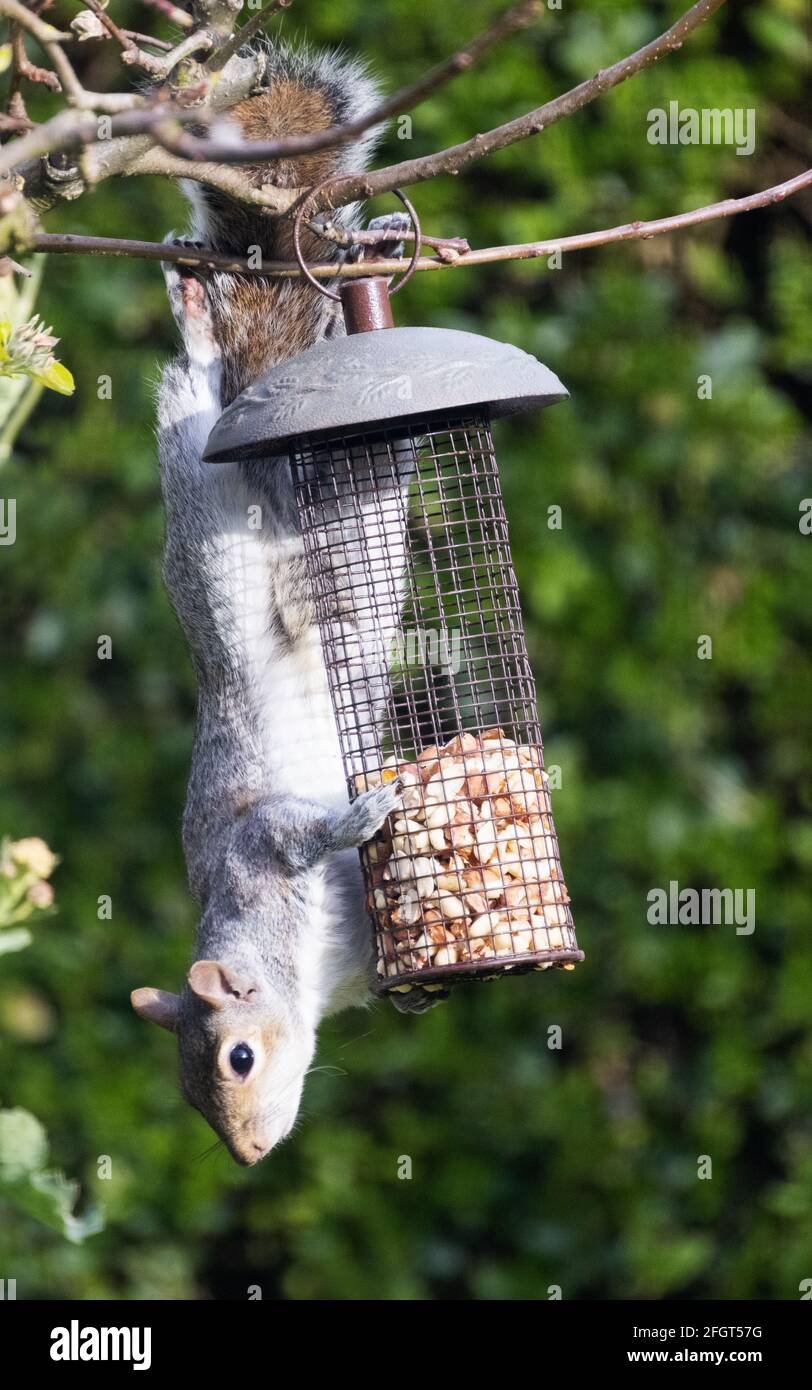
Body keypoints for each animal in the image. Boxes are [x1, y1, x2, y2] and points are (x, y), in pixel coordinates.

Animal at [130, 38, 439, 1167]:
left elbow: (299, 831)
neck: (304, 981)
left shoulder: (260, 850)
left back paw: (209, 316)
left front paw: (369, 810)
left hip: (204, 505)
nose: (250, 1157)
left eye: (236, 1058)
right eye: (188, 1098)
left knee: (197, 394)